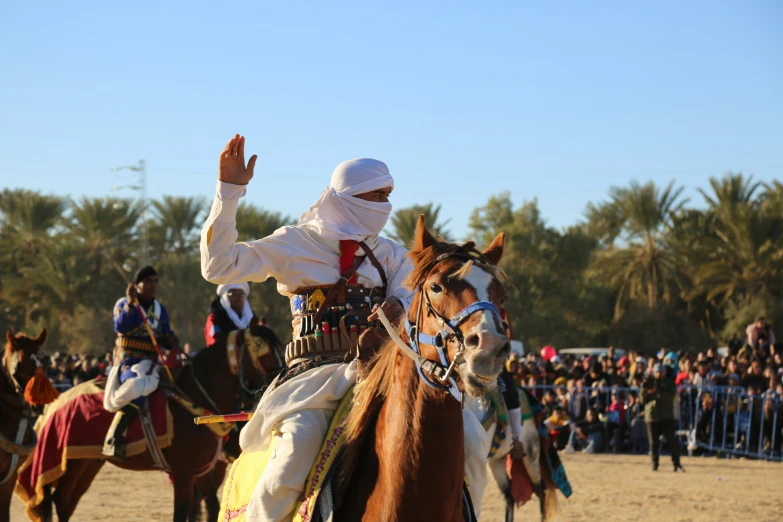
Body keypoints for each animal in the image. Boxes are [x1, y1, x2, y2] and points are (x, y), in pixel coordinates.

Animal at [38, 320, 284, 520]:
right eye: (266, 353)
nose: (282, 377)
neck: (195, 397)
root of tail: (56, 400)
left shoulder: (201, 471)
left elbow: (211, 507)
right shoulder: (183, 473)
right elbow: (183, 513)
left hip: (89, 461)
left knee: (66, 501)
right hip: (74, 462)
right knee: (61, 499)